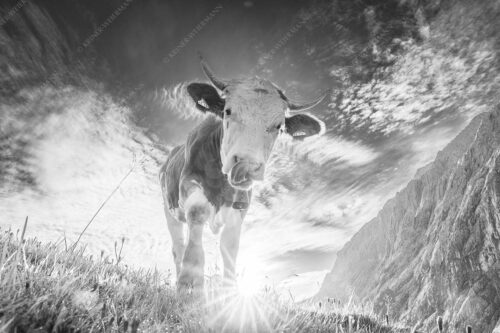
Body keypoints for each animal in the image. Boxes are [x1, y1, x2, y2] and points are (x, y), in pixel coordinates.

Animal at [158, 55, 326, 292]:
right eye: (227, 111)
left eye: (279, 126)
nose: (247, 165)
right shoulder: (189, 183)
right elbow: (198, 214)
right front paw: (190, 283)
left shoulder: (241, 205)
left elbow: (229, 246)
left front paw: (230, 292)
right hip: (169, 210)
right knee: (178, 246)